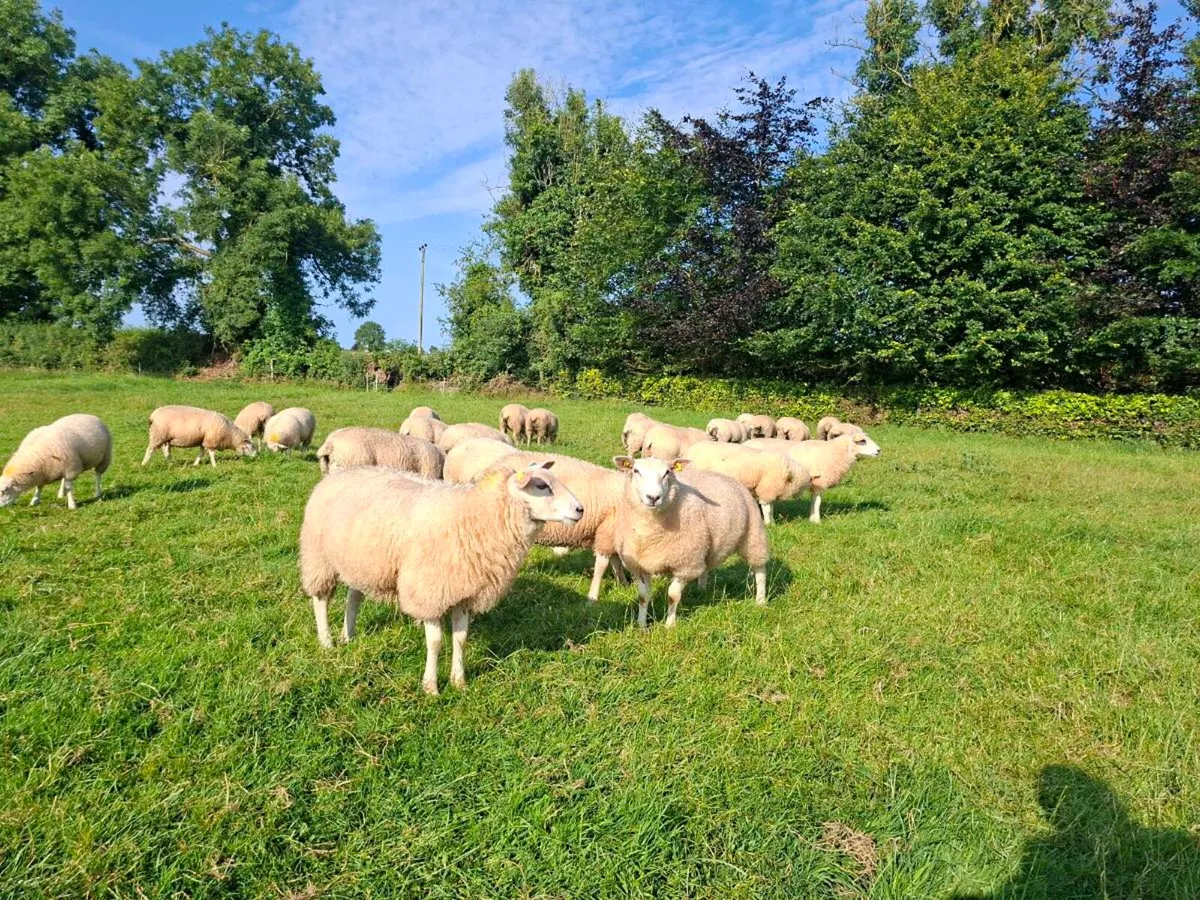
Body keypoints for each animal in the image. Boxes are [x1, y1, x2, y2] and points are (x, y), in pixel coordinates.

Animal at [299, 462, 583, 693]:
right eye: (542, 485)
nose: (580, 509)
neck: (475, 518)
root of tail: (336, 474)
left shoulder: (465, 594)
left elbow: (461, 638)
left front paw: (459, 681)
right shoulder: (429, 591)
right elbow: (435, 642)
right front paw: (431, 687)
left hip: (362, 562)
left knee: (353, 599)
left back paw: (348, 636)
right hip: (319, 558)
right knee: (320, 600)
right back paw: (327, 641)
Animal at [444, 438, 628, 601]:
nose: (580, 509)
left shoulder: (612, 533)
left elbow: (616, 561)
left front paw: (623, 583)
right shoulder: (606, 530)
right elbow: (602, 566)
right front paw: (593, 597)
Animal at [612, 457, 768, 628]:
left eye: (667, 472)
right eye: (636, 471)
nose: (653, 497)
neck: (649, 530)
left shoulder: (685, 565)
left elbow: (672, 596)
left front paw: (669, 625)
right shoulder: (638, 565)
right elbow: (643, 596)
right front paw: (641, 625)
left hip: (753, 533)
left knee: (760, 569)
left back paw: (760, 601)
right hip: (706, 546)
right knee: (705, 567)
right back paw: (701, 590)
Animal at [684, 441, 812, 525]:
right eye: (802, 487)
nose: (800, 498)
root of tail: (690, 452)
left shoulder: (769, 490)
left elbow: (771, 508)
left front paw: (772, 522)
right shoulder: (767, 488)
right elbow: (767, 509)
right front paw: (769, 524)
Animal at [745, 432, 881, 523]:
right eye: (863, 441)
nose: (879, 450)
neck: (833, 452)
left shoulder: (815, 484)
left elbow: (814, 501)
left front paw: (812, 518)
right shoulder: (819, 482)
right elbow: (817, 502)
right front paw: (817, 520)